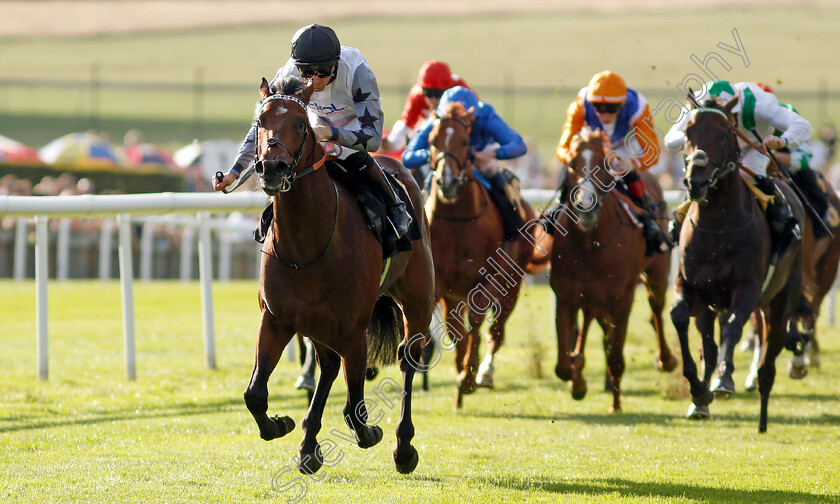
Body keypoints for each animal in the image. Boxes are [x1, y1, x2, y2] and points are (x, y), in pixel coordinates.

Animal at [243, 77, 436, 474]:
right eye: (260, 121)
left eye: (300, 123)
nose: (272, 168)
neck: (307, 245)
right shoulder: (277, 318)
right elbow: (254, 394)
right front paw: (281, 425)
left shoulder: (353, 329)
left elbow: (354, 407)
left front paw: (372, 433)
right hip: (315, 321)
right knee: (329, 366)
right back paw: (307, 445)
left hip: (417, 298)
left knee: (408, 356)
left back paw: (404, 446)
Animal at [426, 103, 544, 410]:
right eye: (432, 141)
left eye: (464, 142)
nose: (447, 182)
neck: (458, 221)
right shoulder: (443, 287)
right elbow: (455, 332)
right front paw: (460, 373)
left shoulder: (483, 280)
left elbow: (477, 326)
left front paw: (469, 376)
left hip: (512, 284)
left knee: (497, 331)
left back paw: (485, 373)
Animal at [548, 130, 680, 414]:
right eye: (572, 164)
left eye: (605, 164)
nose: (585, 204)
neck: (590, 245)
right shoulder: (566, 297)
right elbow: (564, 365)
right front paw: (577, 381)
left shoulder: (622, 300)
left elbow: (616, 356)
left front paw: (616, 404)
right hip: (592, 299)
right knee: (590, 321)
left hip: (657, 276)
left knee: (656, 312)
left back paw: (666, 360)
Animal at [668, 95, 808, 434]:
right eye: (688, 132)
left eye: (723, 134)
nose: (695, 181)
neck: (718, 226)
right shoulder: (690, 286)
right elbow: (680, 319)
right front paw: (698, 389)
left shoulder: (747, 289)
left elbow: (732, 327)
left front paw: (723, 380)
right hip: (710, 304)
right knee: (708, 342)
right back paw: (701, 404)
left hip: (780, 301)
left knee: (769, 360)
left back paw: (762, 418)